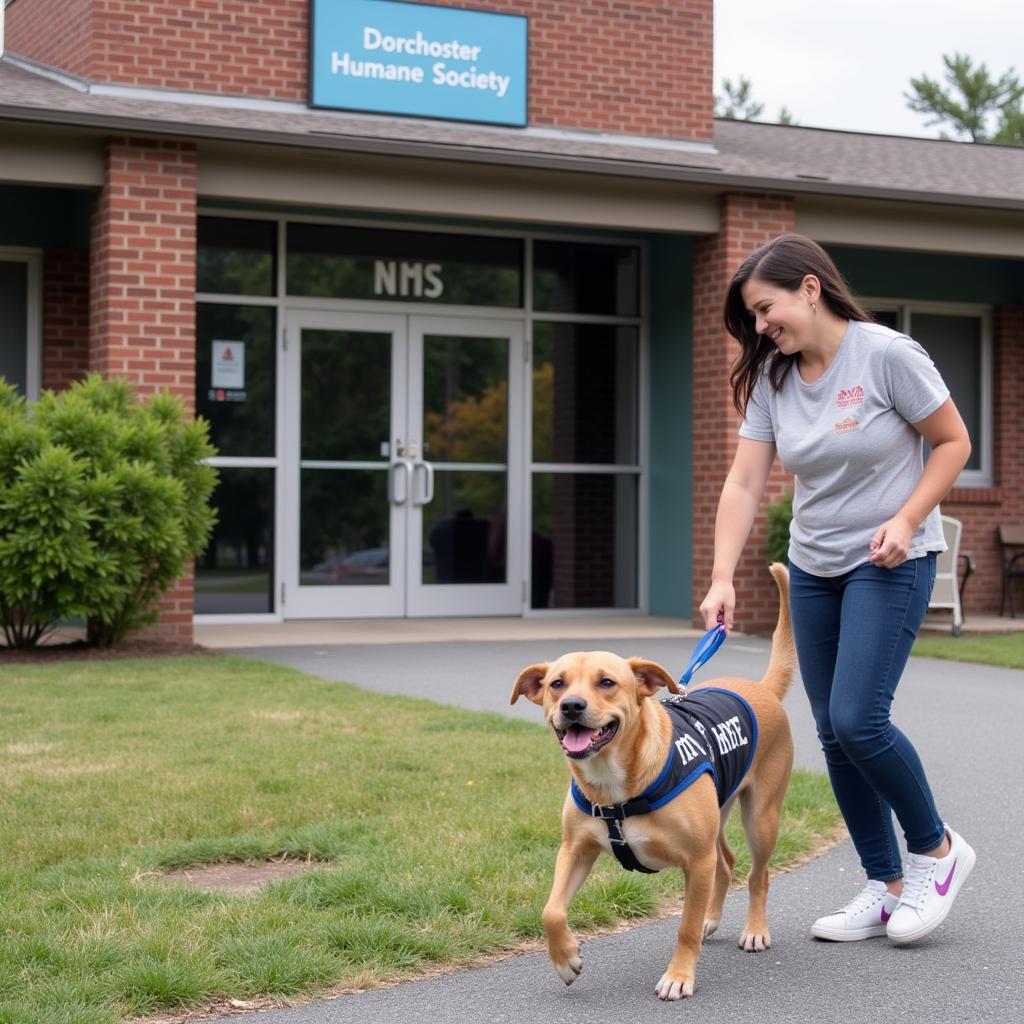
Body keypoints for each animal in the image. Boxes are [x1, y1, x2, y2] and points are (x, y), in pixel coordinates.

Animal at [512, 561, 798, 999]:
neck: (614, 783)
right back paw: (712, 917)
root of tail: (761, 688)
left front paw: (679, 975)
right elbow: (551, 911)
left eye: (607, 682)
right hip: (719, 810)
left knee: (757, 874)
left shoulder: (696, 860)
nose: (571, 706)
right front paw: (566, 959)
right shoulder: (575, 849)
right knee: (727, 863)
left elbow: (684, 928)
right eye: (557, 684)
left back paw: (754, 930)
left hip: (761, 818)